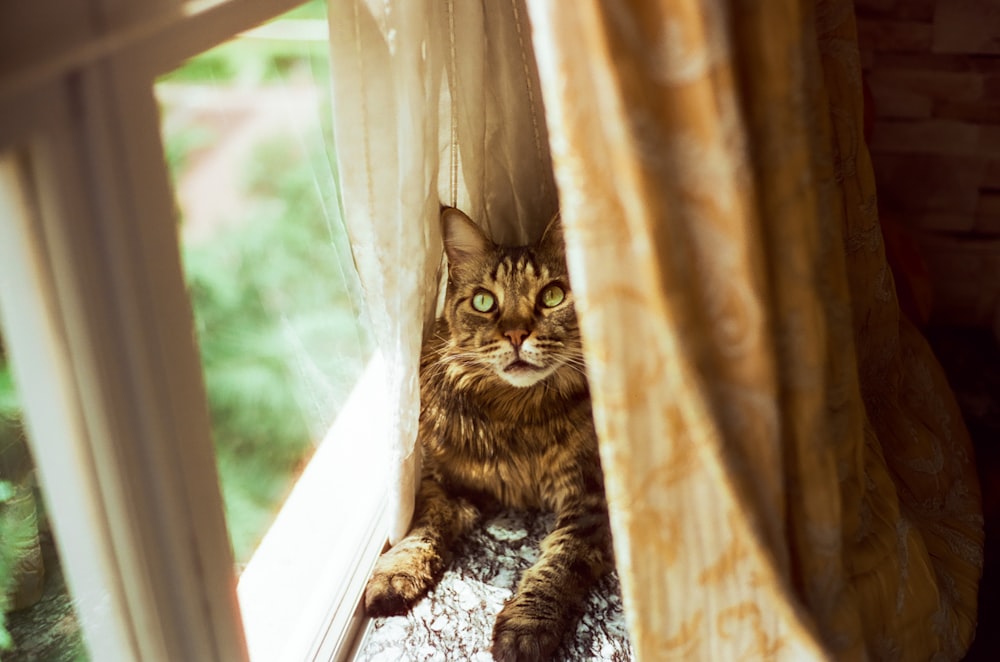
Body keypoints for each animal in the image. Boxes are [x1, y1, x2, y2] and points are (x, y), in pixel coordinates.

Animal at [360, 209, 608, 662]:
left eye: (552, 296)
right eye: (483, 302)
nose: (516, 334)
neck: (518, 412)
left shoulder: (593, 497)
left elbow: (560, 563)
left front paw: (525, 627)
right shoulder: (446, 479)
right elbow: (423, 526)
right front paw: (396, 570)